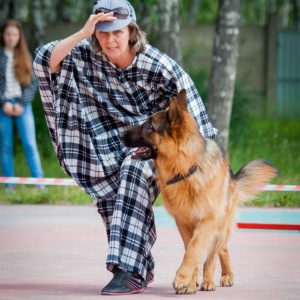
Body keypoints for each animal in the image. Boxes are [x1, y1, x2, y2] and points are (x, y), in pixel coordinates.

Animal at [118, 89, 278, 296]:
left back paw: (216, 279)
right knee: (220, 249)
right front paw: (190, 283)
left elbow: (195, 250)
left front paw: (182, 278)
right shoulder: (184, 223)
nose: (120, 134)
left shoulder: (207, 221)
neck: (186, 169)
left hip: (219, 226)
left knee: (215, 253)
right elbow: (190, 249)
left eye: (149, 125)